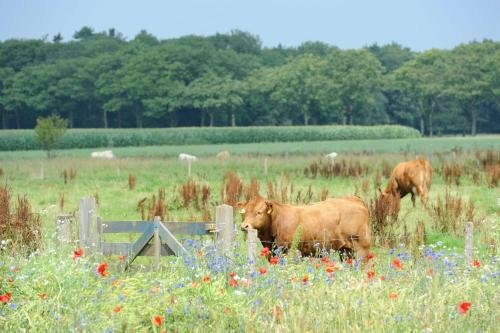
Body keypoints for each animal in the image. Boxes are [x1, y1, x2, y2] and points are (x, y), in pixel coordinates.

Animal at [237, 195, 372, 262]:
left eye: (259, 212)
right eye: (244, 212)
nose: (244, 226)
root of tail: (355, 199)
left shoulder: (288, 251)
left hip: (361, 248)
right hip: (345, 250)